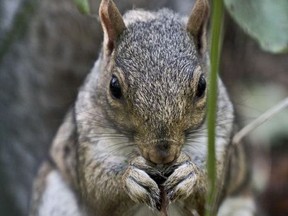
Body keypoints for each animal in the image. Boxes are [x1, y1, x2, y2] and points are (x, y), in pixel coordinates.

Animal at [29, 0, 254, 216]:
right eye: (114, 87)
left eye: (202, 86)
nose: (162, 154)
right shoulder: (87, 141)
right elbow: (97, 195)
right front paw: (129, 177)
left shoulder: (220, 140)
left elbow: (212, 193)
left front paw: (191, 175)